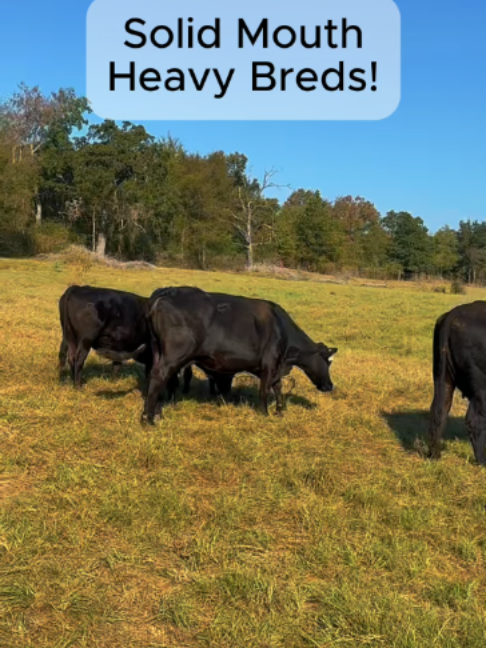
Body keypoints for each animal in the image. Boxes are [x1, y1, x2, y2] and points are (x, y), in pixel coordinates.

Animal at [143, 286, 337, 424]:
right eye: (328, 362)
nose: (330, 386)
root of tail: (165, 292)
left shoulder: (276, 366)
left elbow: (278, 387)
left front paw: (280, 410)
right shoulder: (269, 364)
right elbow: (265, 389)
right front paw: (265, 413)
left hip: (157, 350)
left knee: (154, 376)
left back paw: (156, 413)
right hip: (174, 354)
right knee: (160, 376)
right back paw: (148, 418)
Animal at [427, 301, 486, 465]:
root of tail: (454, 313)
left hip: (442, 378)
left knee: (438, 411)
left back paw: (434, 456)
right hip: (482, 390)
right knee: (475, 421)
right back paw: (482, 461)